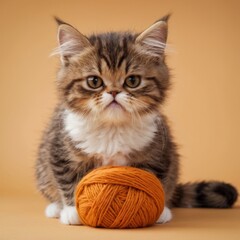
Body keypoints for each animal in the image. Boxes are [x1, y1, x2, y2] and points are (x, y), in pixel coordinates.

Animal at [35, 16, 238, 225]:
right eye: (94, 81)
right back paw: (55, 207)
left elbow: (153, 180)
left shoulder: (159, 152)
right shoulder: (59, 150)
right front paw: (72, 210)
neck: (112, 129)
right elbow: (68, 179)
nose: (114, 92)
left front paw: (157, 211)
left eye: (132, 81)